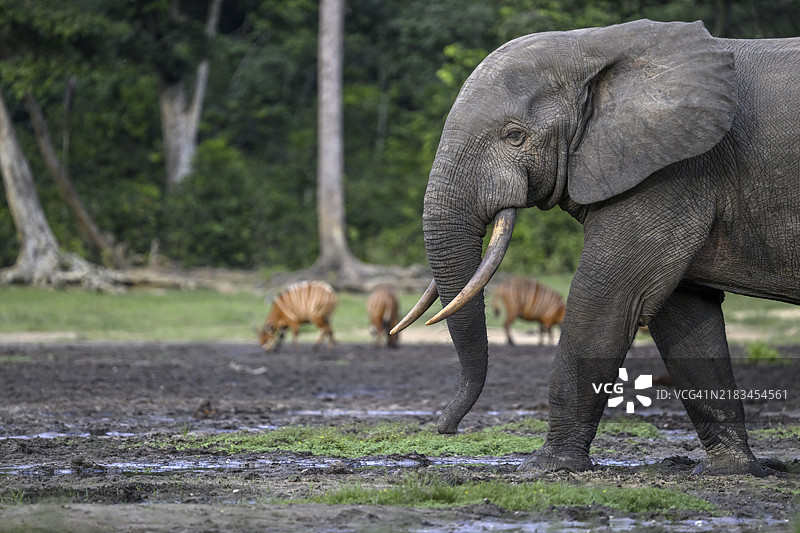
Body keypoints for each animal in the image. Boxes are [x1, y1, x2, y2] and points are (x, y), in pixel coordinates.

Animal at [392, 19, 800, 476]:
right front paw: (730, 471)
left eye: (514, 136)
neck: (595, 44)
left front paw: (545, 468)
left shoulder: (672, 171)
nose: (444, 427)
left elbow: (606, 299)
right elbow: (684, 314)